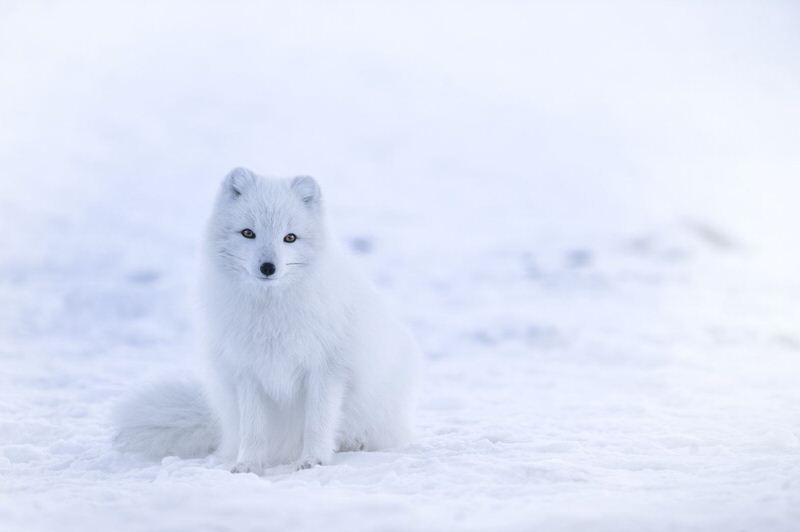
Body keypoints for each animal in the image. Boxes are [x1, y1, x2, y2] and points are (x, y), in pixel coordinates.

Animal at [113, 168, 420, 473]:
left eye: (290, 238)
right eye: (248, 233)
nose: (268, 267)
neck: (270, 313)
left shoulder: (326, 369)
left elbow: (318, 422)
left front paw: (313, 460)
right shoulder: (247, 372)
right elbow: (253, 429)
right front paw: (247, 464)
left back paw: (355, 443)